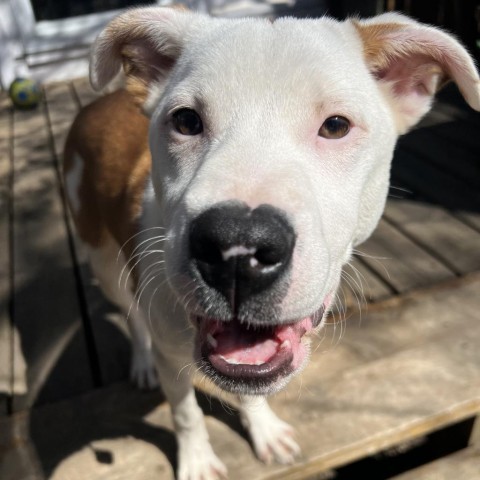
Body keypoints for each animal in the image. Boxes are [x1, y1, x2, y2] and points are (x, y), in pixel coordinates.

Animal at [64, 8, 480, 480]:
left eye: (336, 125)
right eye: (186, 121)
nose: (237, 251)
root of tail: (99, 103)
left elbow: (248, 388)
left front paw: (262, 429)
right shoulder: (172, 354)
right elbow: (186, 412)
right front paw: (198, 459)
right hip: (102, 259)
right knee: (131, 314)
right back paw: (141, 362)